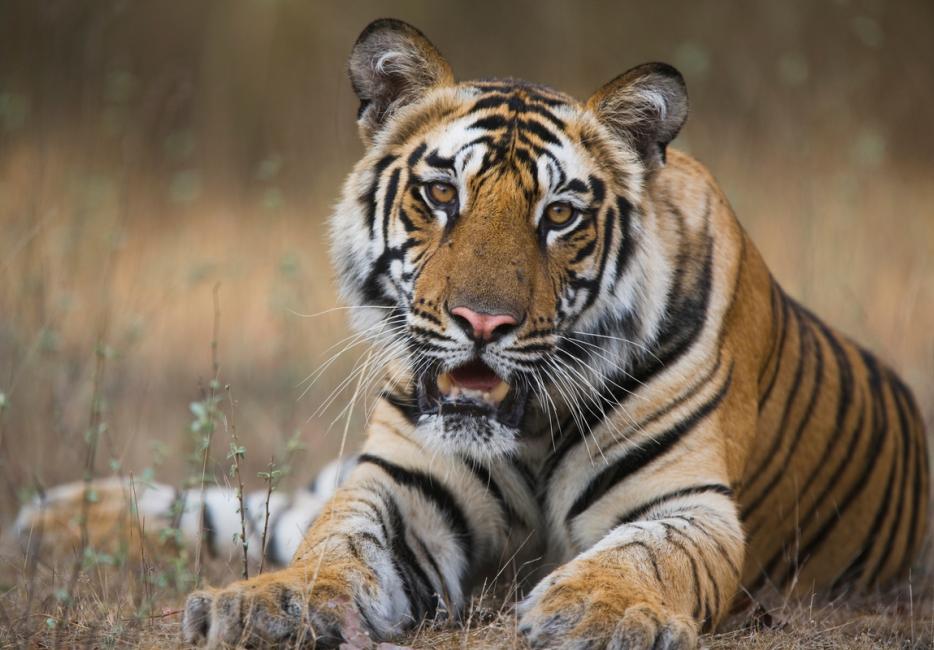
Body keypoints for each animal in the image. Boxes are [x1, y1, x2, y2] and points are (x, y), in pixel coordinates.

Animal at [14, 18, 929, 649]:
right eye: (442, 194)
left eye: (558, 215)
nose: (482, 323)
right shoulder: (401, 481)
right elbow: (330, 541)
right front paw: (272, 601)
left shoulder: (688, 504)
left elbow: (641, 555)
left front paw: (595, 611)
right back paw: (53, 518)